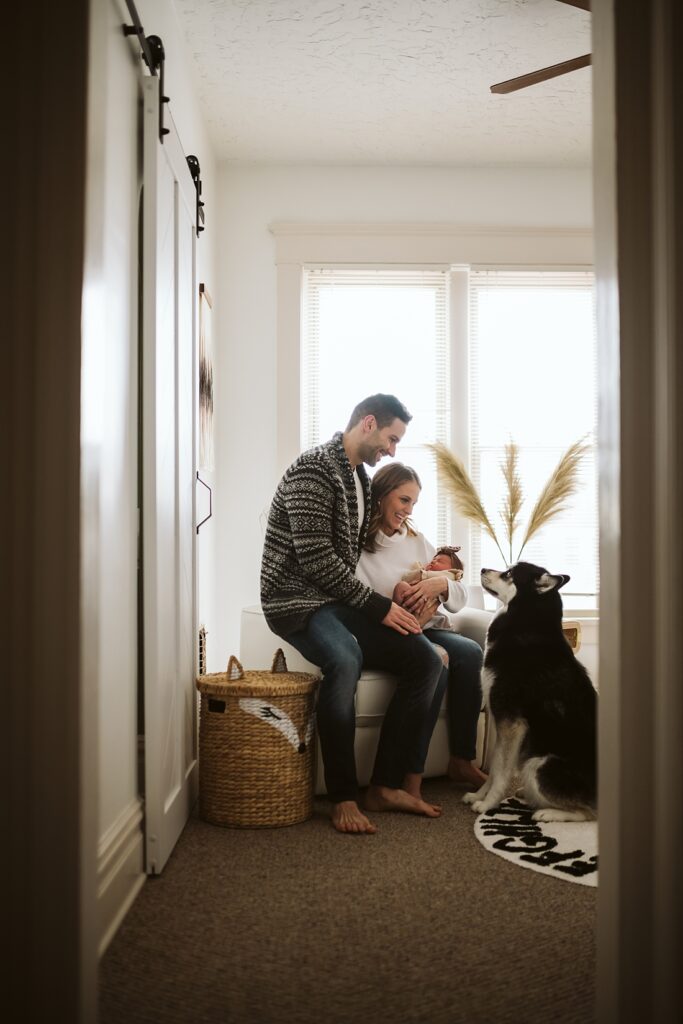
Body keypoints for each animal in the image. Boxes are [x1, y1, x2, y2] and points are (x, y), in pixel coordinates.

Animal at [464, 565, 598, 819]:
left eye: (508, 574)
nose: (483, 568)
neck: (523, 621)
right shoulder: (501, 721)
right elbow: (495, 767)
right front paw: (479, 795)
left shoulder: (511, 722)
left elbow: (500, 770)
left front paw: (487, 804)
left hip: (538, 764)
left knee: (588, 813)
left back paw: (548, 813)